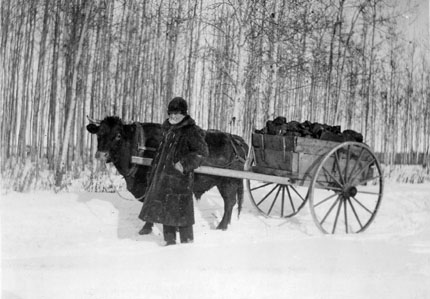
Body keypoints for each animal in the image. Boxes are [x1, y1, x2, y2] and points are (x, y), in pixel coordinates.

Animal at [86, 116, 249, 233]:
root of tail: (237, 140)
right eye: (99, 133)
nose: (100, 154)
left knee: (229, 202)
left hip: (228, 182)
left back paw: (221, 226)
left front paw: (146, 229)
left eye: (118, 135)